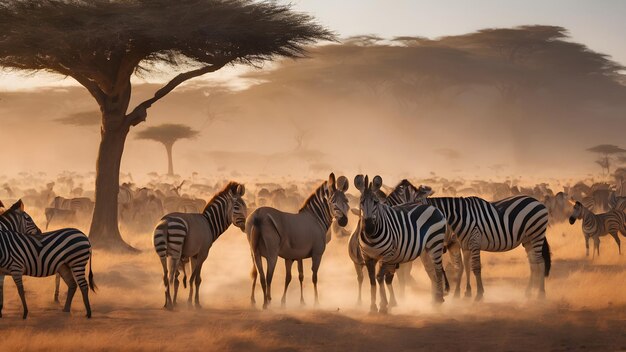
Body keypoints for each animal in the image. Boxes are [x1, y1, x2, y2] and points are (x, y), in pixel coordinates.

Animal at [245, 173, 352, 308]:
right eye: (332, 202)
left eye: (346, 201)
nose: (344, 221)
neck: (316, 218)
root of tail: (258, 215)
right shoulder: (317, 254)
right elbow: (314, 277)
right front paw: (316, 302)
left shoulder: (294, 256)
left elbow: (294, 276)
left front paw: (291, 302)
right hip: (272, 254)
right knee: (268, 276)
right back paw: (267, 302)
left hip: (255, 253)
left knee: (260, 276)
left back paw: (260, 302)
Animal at [354, 176, 446, 314]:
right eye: (361, 202)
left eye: (375, 202)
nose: (369, 228)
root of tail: (433, 208)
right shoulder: (368, 257)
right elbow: (373, 280)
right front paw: (374, 306)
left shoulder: (388, 255)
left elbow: (381, 277)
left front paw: (384, 305)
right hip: (425, 250)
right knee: (431, 270)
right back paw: (434, 299)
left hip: (436, 242)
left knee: (438, 269)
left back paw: (439, 299)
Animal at [390, 182, 552, 300]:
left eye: (416, 202)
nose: (401, 211)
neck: (460, 216)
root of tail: (537, 201)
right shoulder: (465, 245)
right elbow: (466, 267)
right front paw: (466, 293)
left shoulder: (474, 241)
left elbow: (475, 267)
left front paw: (479, 294)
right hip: (528, 240)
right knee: (533, 264)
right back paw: (528, 292)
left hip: (536, 234)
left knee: (540, 262)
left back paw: (541, 294)